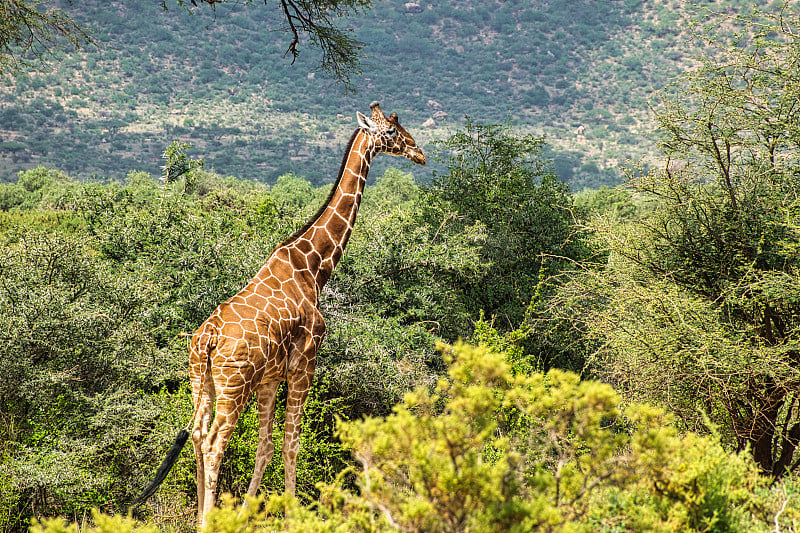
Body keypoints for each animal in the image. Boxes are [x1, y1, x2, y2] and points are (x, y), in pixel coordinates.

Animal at [133, 102, 424, 524]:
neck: (314, 268)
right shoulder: (305, 364)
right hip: (233, 386)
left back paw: (205, 515)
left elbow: (265, 446)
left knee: (198, 437)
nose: (419, 152)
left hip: (200, 382)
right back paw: (207, 520)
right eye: (391, 130)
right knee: (215, 443)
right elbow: (291, 445)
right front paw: (293, 515)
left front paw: (245, 514)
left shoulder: (270, 378)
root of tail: (207, 340)